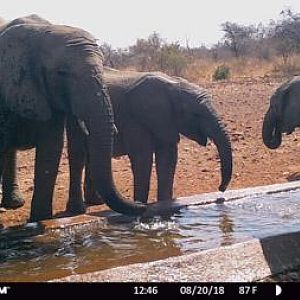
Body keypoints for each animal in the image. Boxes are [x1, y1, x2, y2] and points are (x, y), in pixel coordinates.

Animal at [0, 18, 145, 221]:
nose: (142, 204)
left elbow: (51, 150)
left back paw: (14, 203)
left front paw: (40, 221)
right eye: (61, 72)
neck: (39, 33)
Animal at [78, 67, 232, 206]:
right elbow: (143, 158)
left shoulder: (166, 121)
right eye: (196, 114)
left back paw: (96, 202)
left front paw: (165, 204)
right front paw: (141, 205)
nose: (221, 189)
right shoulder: (134, 119)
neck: (173, 85)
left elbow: (168, 158)